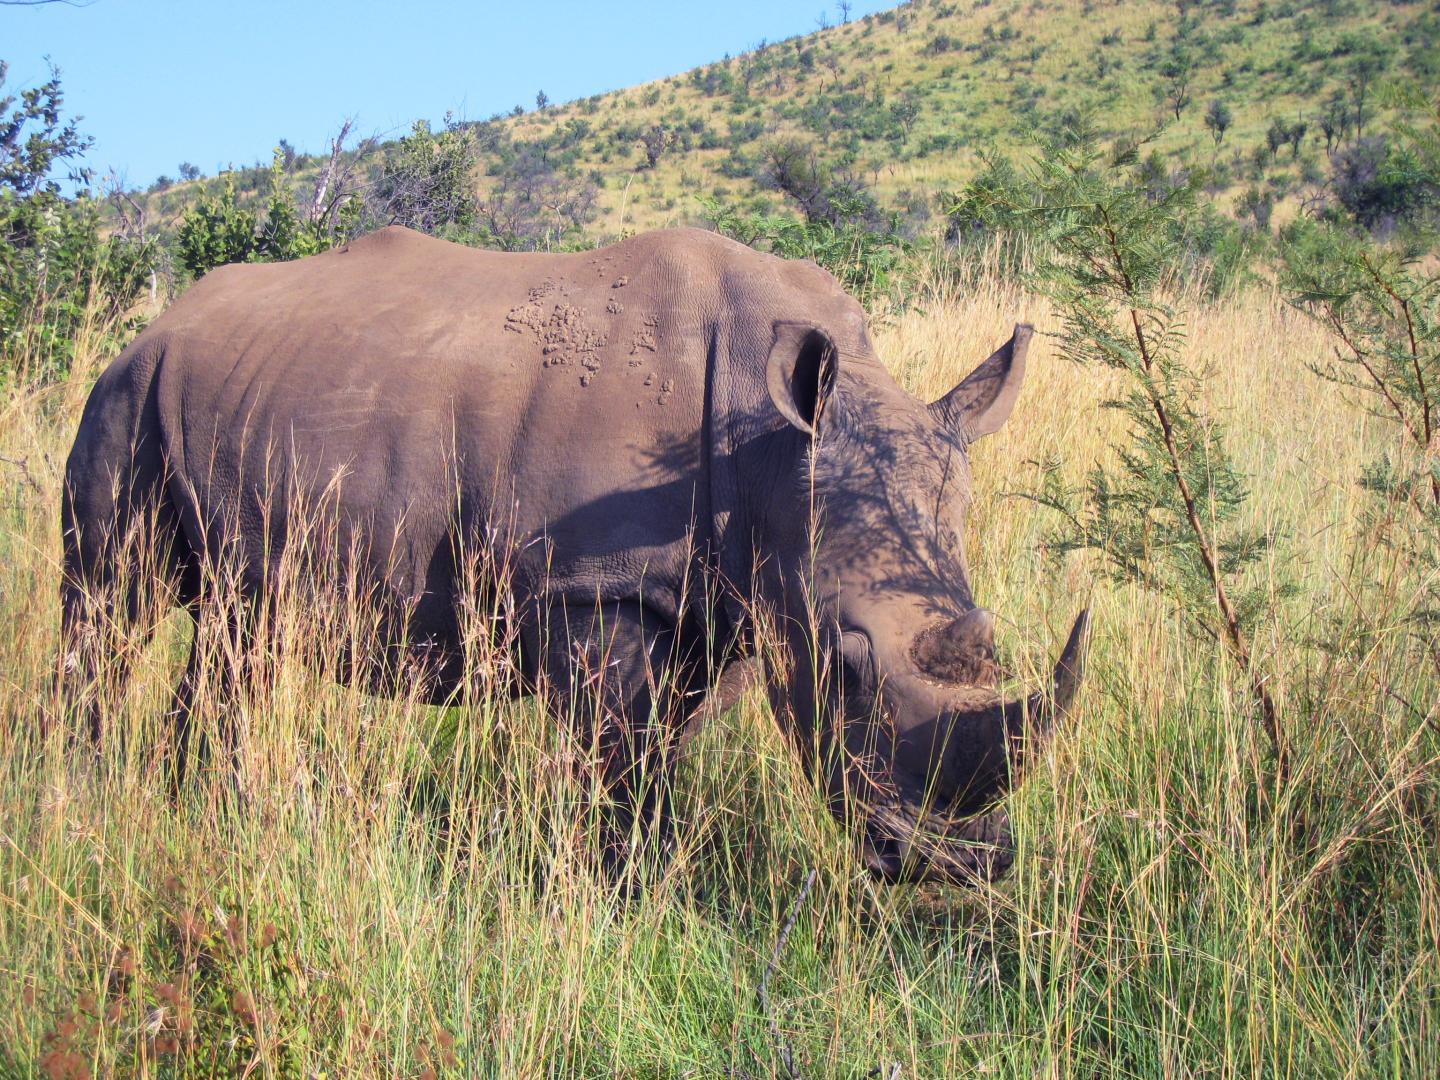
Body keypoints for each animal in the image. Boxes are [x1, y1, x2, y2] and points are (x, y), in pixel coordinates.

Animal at [61, 225, 1088, 883]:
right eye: (846, 668)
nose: (956, 865)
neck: (768, 449)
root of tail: (151, 327)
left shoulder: (716, 599)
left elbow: (659, 749)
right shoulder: (594, 589)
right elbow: (621, 761)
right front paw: (628, 895)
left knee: (237, 630)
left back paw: (204, 811)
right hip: (125, 393)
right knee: (111, 607)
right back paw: (84, 796)